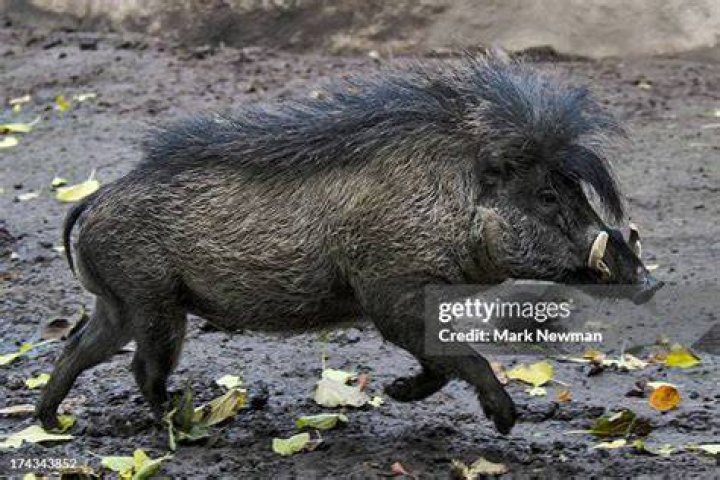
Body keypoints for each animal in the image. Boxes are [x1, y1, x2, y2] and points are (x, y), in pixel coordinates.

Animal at [37, 54, 662, 434]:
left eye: (572, 189)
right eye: (547, 195)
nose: (647, 281)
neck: (449, 195)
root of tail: (96, 199)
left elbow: (440, 362)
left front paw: (397, 391)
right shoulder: (389, 294)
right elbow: (459, 355)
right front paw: (505, 421)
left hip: (119, 303)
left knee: (77, 348)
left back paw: (51, 422)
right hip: (154, 304)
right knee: (141, 367)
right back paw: (183, 422)